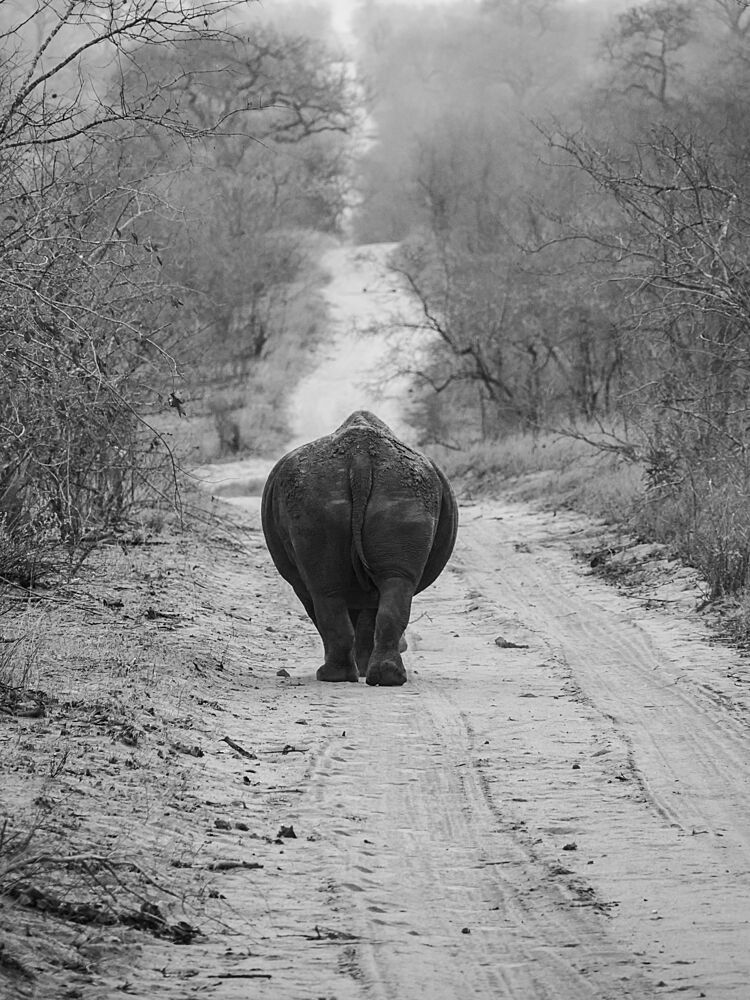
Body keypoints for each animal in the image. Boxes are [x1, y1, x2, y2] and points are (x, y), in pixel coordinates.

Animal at [261, 411, 458, 686]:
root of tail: (360, 458)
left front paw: (361, 667)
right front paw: (363, 668)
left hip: (333, 493)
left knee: (328, 591)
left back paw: (337, 675)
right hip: (399, 493)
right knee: (393, 581)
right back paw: (384, 676)